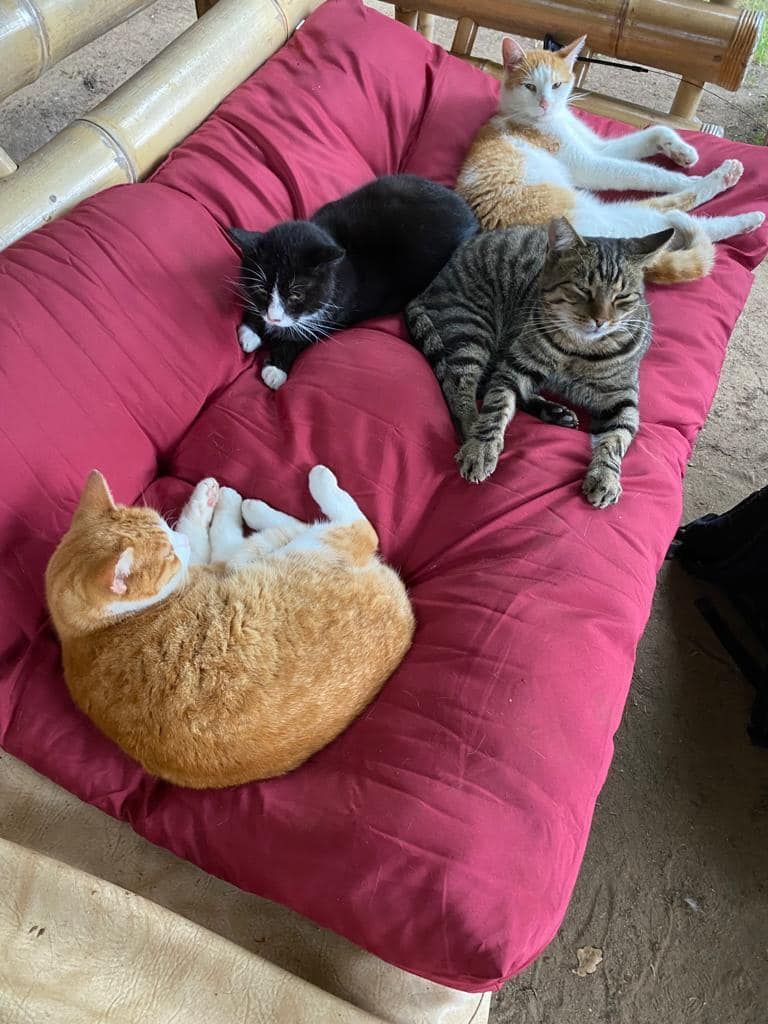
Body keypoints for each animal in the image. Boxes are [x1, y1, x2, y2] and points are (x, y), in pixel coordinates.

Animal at [45, 467, 415, 788]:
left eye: (165, 527)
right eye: (168, 556)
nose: (179, 541)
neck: (88, 632)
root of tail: (405, 617)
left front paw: (204, 498)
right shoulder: (207, 563)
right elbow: (204, 535)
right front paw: (213, 501)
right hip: (301, 550)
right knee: (356, 528)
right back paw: (274, 498)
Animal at [229, 174, 478, 389]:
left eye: (296, 295)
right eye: (261, 289)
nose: (274, 318)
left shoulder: (338, 311)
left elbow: (305, 336)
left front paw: (276, 367)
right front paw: (251, 330)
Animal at [405, 217, 671, 508]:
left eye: (622, 297)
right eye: (582, 289)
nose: (601, 320)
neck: (580, 349)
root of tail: (425, 290)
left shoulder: (622, 398)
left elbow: (616, 438)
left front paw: (605, 477)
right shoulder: (516, 366)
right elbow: (496, 407)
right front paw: (482, 446)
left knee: (487, 383)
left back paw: (553, 411)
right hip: (472, 328)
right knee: (461, 389)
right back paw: (473, 429)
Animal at [456, 36, 765, 285]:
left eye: (556, 85)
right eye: (530, 86)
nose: (545, 104)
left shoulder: (599, 147)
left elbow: (655, 131)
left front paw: (681, 150)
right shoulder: (588, 164)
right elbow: (645, 173)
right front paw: (685, 177)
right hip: (620, 219)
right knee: (678, 212)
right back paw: (729, 188)